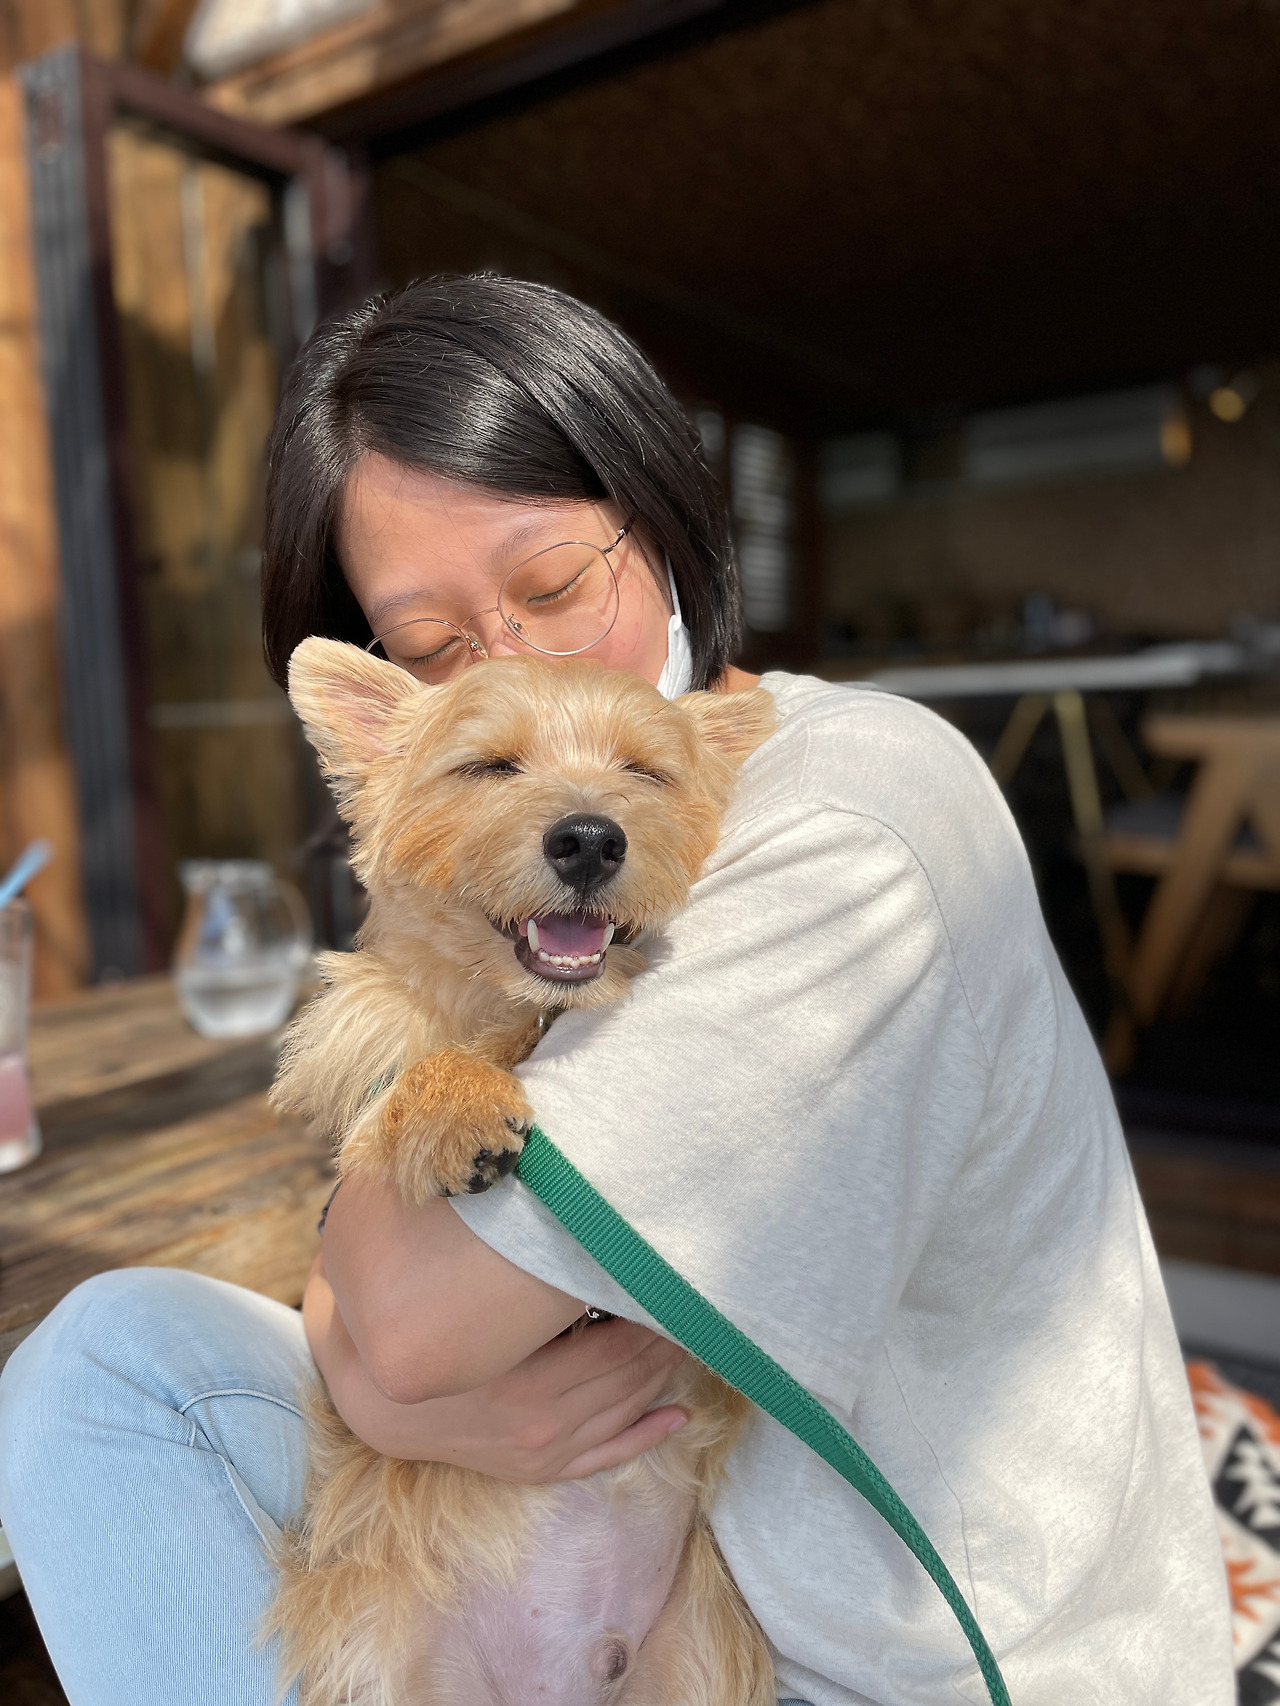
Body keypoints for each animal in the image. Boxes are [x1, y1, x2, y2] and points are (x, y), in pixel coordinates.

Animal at [267, 638, 779, 1706]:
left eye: (645, 774)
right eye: (490, 767)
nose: (588, 840)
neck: (520, 1013)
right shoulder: (366, 1038)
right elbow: (400, 1052)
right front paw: (451, 1105)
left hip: (701, 1658)